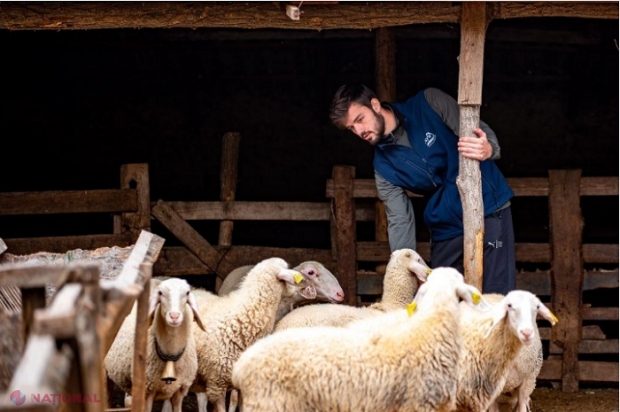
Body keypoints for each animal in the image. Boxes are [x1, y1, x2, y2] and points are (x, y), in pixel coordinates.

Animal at [104, 276, 206, 412]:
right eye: (161, 293)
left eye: (187, 293)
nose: (174, 316)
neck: (170, 354)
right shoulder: (148, 390)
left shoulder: (179, 391)